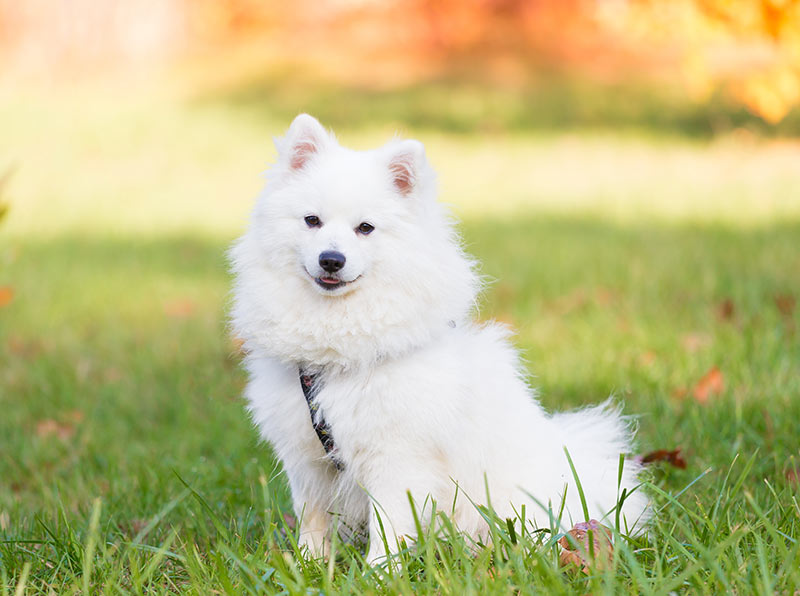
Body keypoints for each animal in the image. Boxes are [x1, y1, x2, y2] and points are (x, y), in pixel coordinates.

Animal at [231, 113, 648, 564]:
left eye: (365, 228)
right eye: (312, 221)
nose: (331, 259)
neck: (336, 350)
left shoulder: (398, 458)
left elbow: (389, 527)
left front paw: (379, 571)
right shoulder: (307, 458)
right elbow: (313, 519)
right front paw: (308, 565)